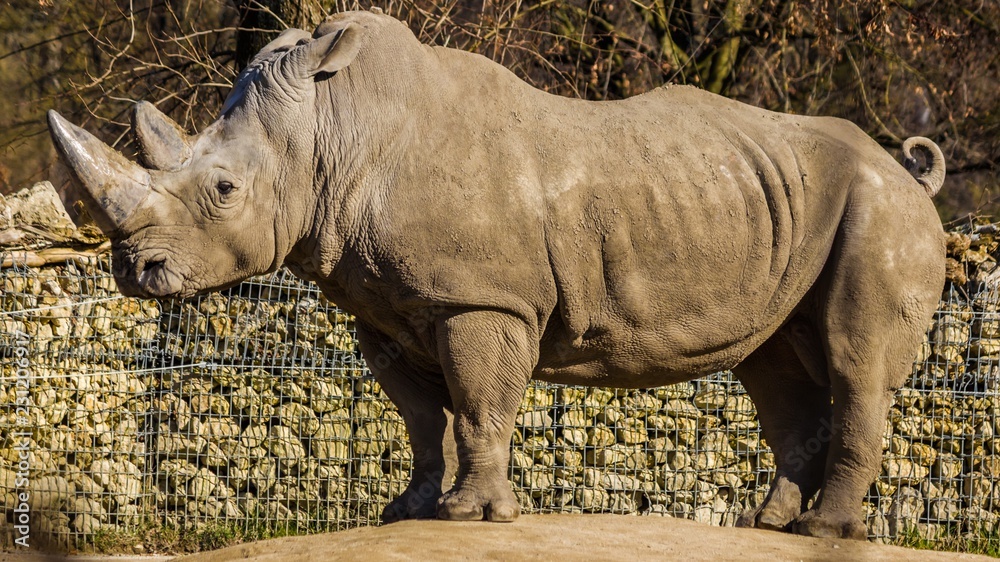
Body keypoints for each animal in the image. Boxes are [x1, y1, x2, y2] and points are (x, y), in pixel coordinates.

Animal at [48, 9, 946, 540]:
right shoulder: (386, 310)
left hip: (881, 213)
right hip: (781, 207)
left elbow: (480, 405)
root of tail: (912, 175)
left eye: (225, 191)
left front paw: (473, 518)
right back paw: (769, 527)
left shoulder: (482, 299)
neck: (334, 130)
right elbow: (420, 420)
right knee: (775, 363)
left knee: (854, 362)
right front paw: (405, 513)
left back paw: (824, 533)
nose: (136, 271)